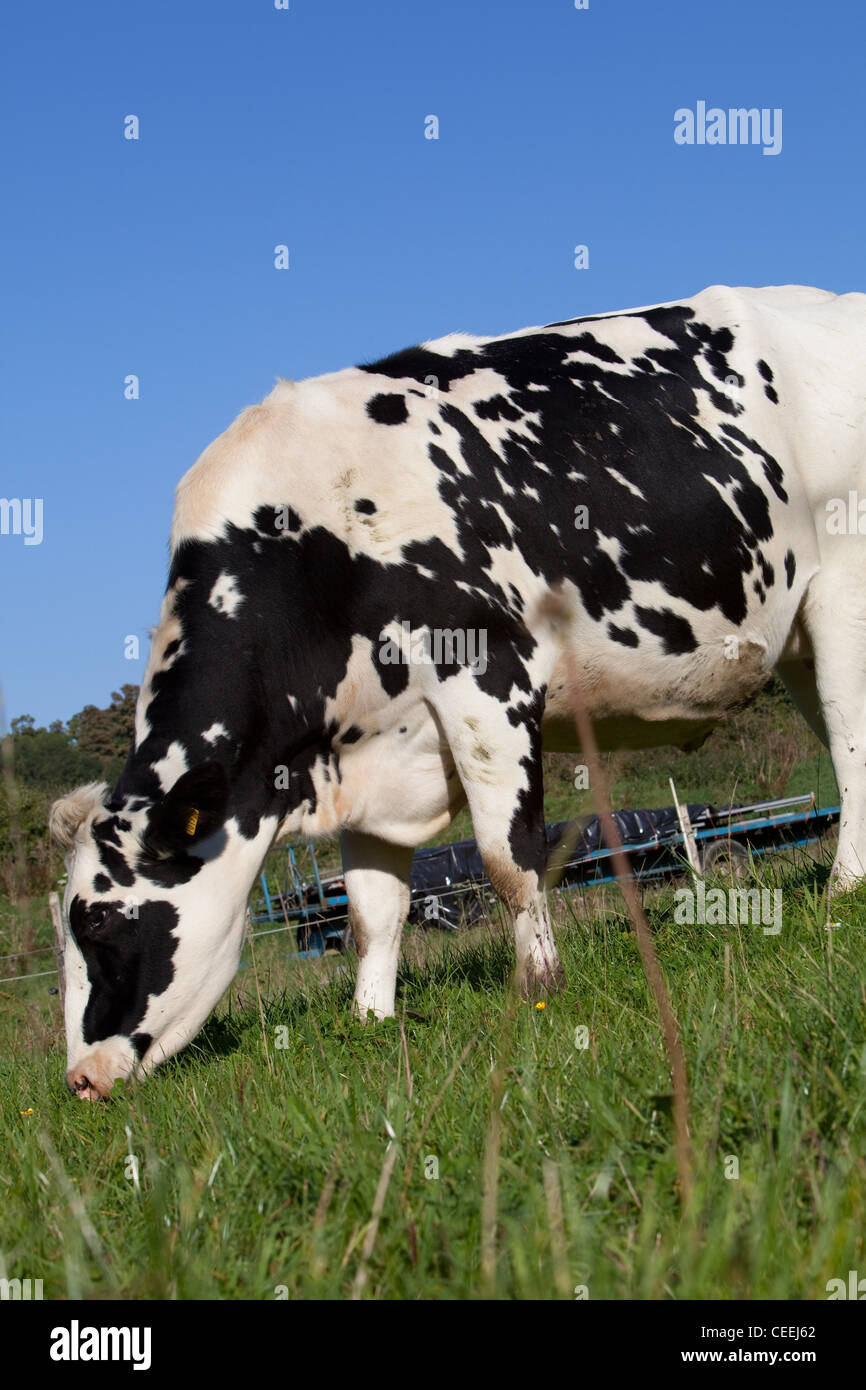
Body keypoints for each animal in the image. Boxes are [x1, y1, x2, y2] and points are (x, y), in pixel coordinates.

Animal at [50, 283, 866, 1099]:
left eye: (97, 922)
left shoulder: (487, 682)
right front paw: (371, 1021)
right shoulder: (367, 742)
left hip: (843, 590)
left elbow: (507, 858)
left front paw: (539, 983)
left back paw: (843, 889)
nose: (80, 1079)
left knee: (851, 745)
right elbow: (373, 911)